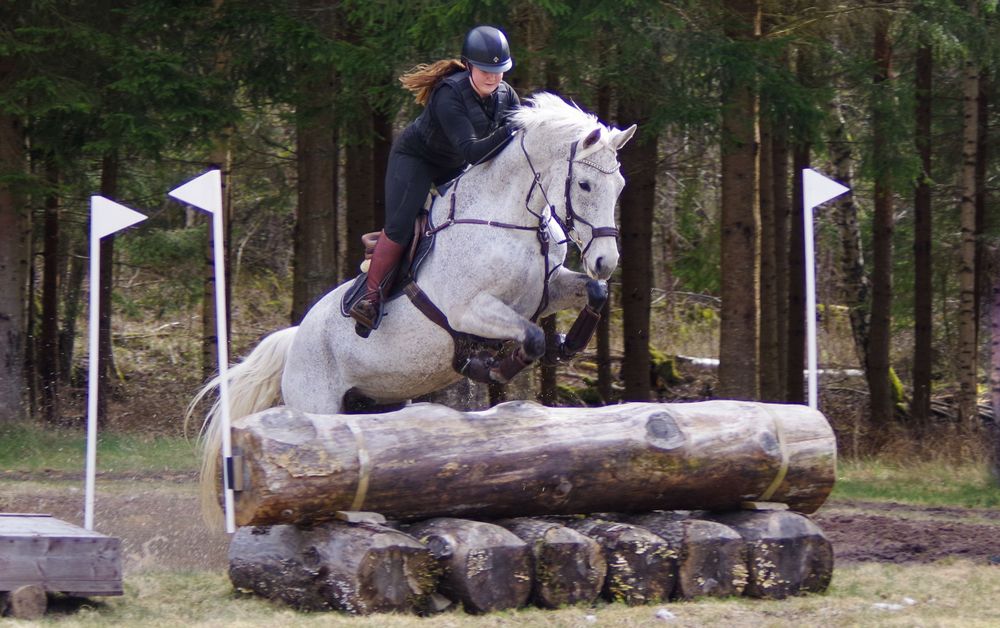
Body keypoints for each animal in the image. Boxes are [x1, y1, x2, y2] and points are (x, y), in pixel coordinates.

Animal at [190, 92, 636, 521]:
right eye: (584, 185)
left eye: (620, 186)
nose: (606, 261)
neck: (510, 220)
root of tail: (296, 337)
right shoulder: (469, 310)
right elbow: (529, 338)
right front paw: (489, 366)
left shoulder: (548, 289)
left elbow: (594, 294)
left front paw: (567, 343)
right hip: (317, 403)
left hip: (375, 402)